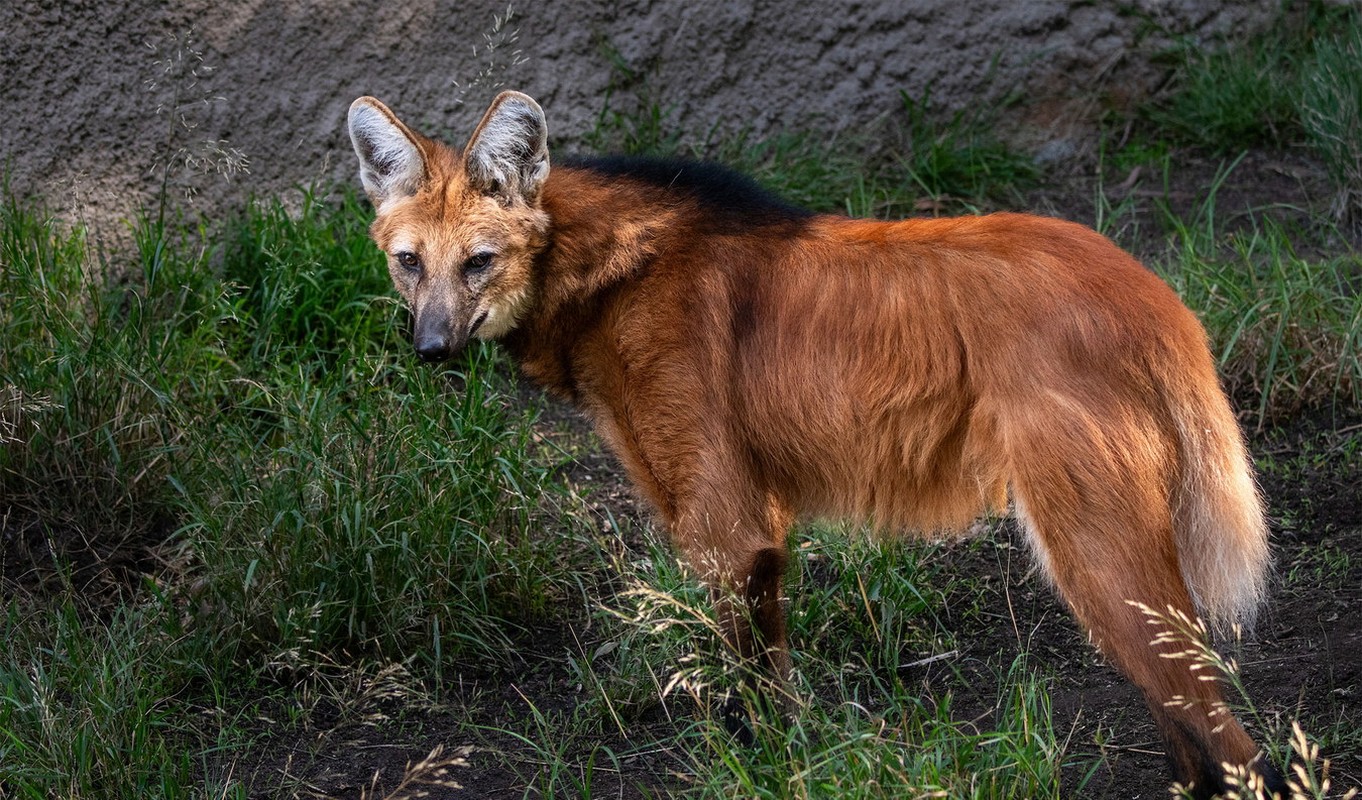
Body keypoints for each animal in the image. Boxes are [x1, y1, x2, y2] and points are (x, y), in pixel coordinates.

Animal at [348, 92, 1285, 795]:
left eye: (477, 262)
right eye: (409, 263)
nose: (431, 348)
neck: (606, 273)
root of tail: (1155, 295)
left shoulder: (723, 525)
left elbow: (748, 696)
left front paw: (761, 767)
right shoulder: (751, 522)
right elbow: (775, 681)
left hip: (1091, 550)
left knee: (1231, 740)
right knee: (1190, 729)